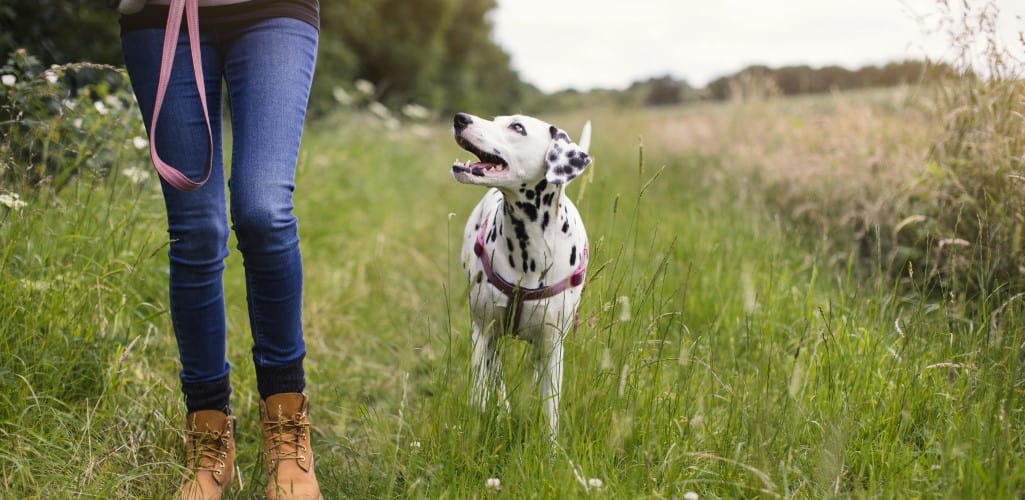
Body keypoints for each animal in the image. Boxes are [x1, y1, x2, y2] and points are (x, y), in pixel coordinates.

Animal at [451, 111, 594, 436]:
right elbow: (481, 390)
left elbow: (550, 409)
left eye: (517, 127)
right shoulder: (484, 331)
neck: (528, 250)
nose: (460, 118)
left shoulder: (552, 346)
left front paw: (550, 447)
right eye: (495, 120)